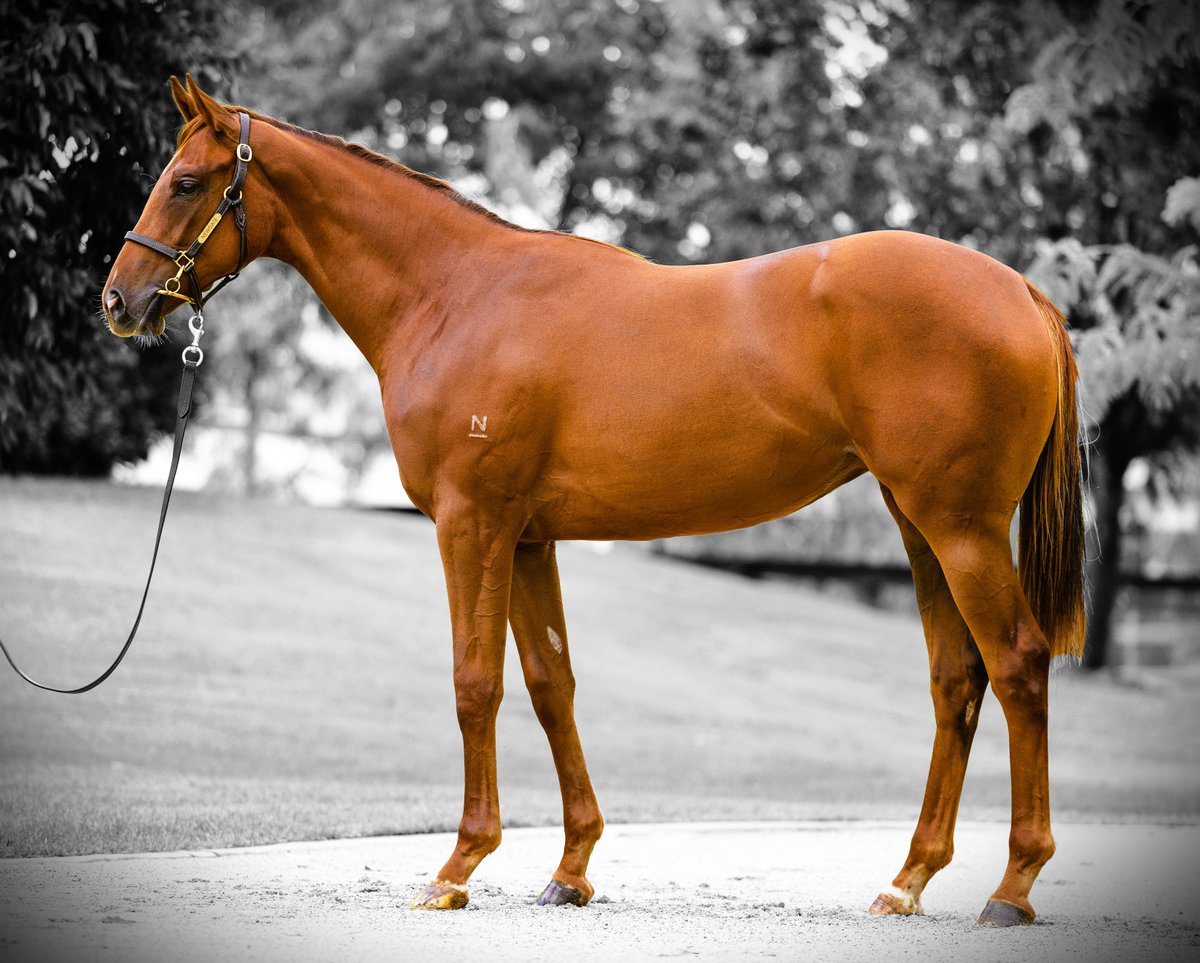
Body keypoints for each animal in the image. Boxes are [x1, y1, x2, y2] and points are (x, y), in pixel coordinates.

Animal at [102, 75, 1085, 927]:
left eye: (185, 182)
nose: (119, 300)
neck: (457, 294)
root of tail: (1022, 290)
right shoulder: (529, 538)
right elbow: (550, 685)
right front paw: (569, 870)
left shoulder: (472, 524)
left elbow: (475, 683)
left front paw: (457, 867)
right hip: (918, 523)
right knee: (956, 680)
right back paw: (908, 879)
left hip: (961, 528)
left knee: (1018, 664)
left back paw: (1014, 885)